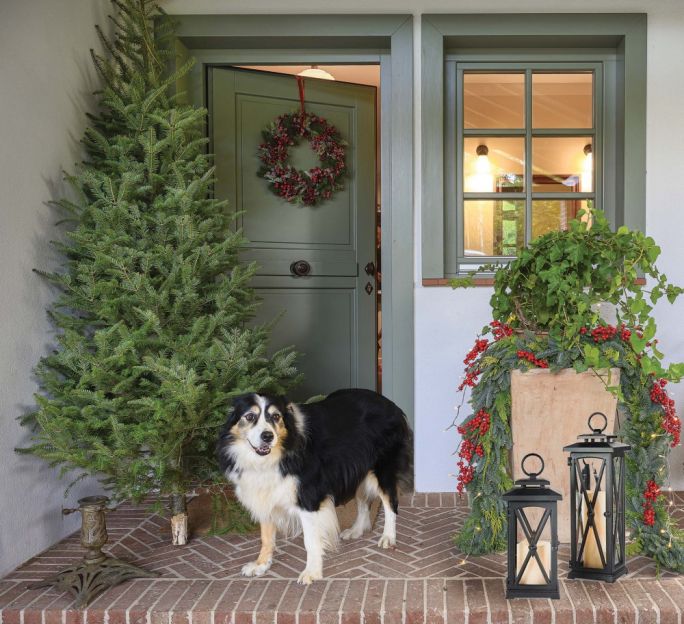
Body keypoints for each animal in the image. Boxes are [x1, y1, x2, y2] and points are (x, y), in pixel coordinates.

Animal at [219, 390, 412, 584]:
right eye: (250, 416)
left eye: (276, 416)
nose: (268, 436)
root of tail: (391, 404)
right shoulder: (265, 494)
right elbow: (266, 537)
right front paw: (261, 564)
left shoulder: (308, 496)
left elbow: (310, 540)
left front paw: (312, 571)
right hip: (357, 467)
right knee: (363, 501)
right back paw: (357, 530)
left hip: (382, 469)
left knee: (390, 502)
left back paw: (388, 536)